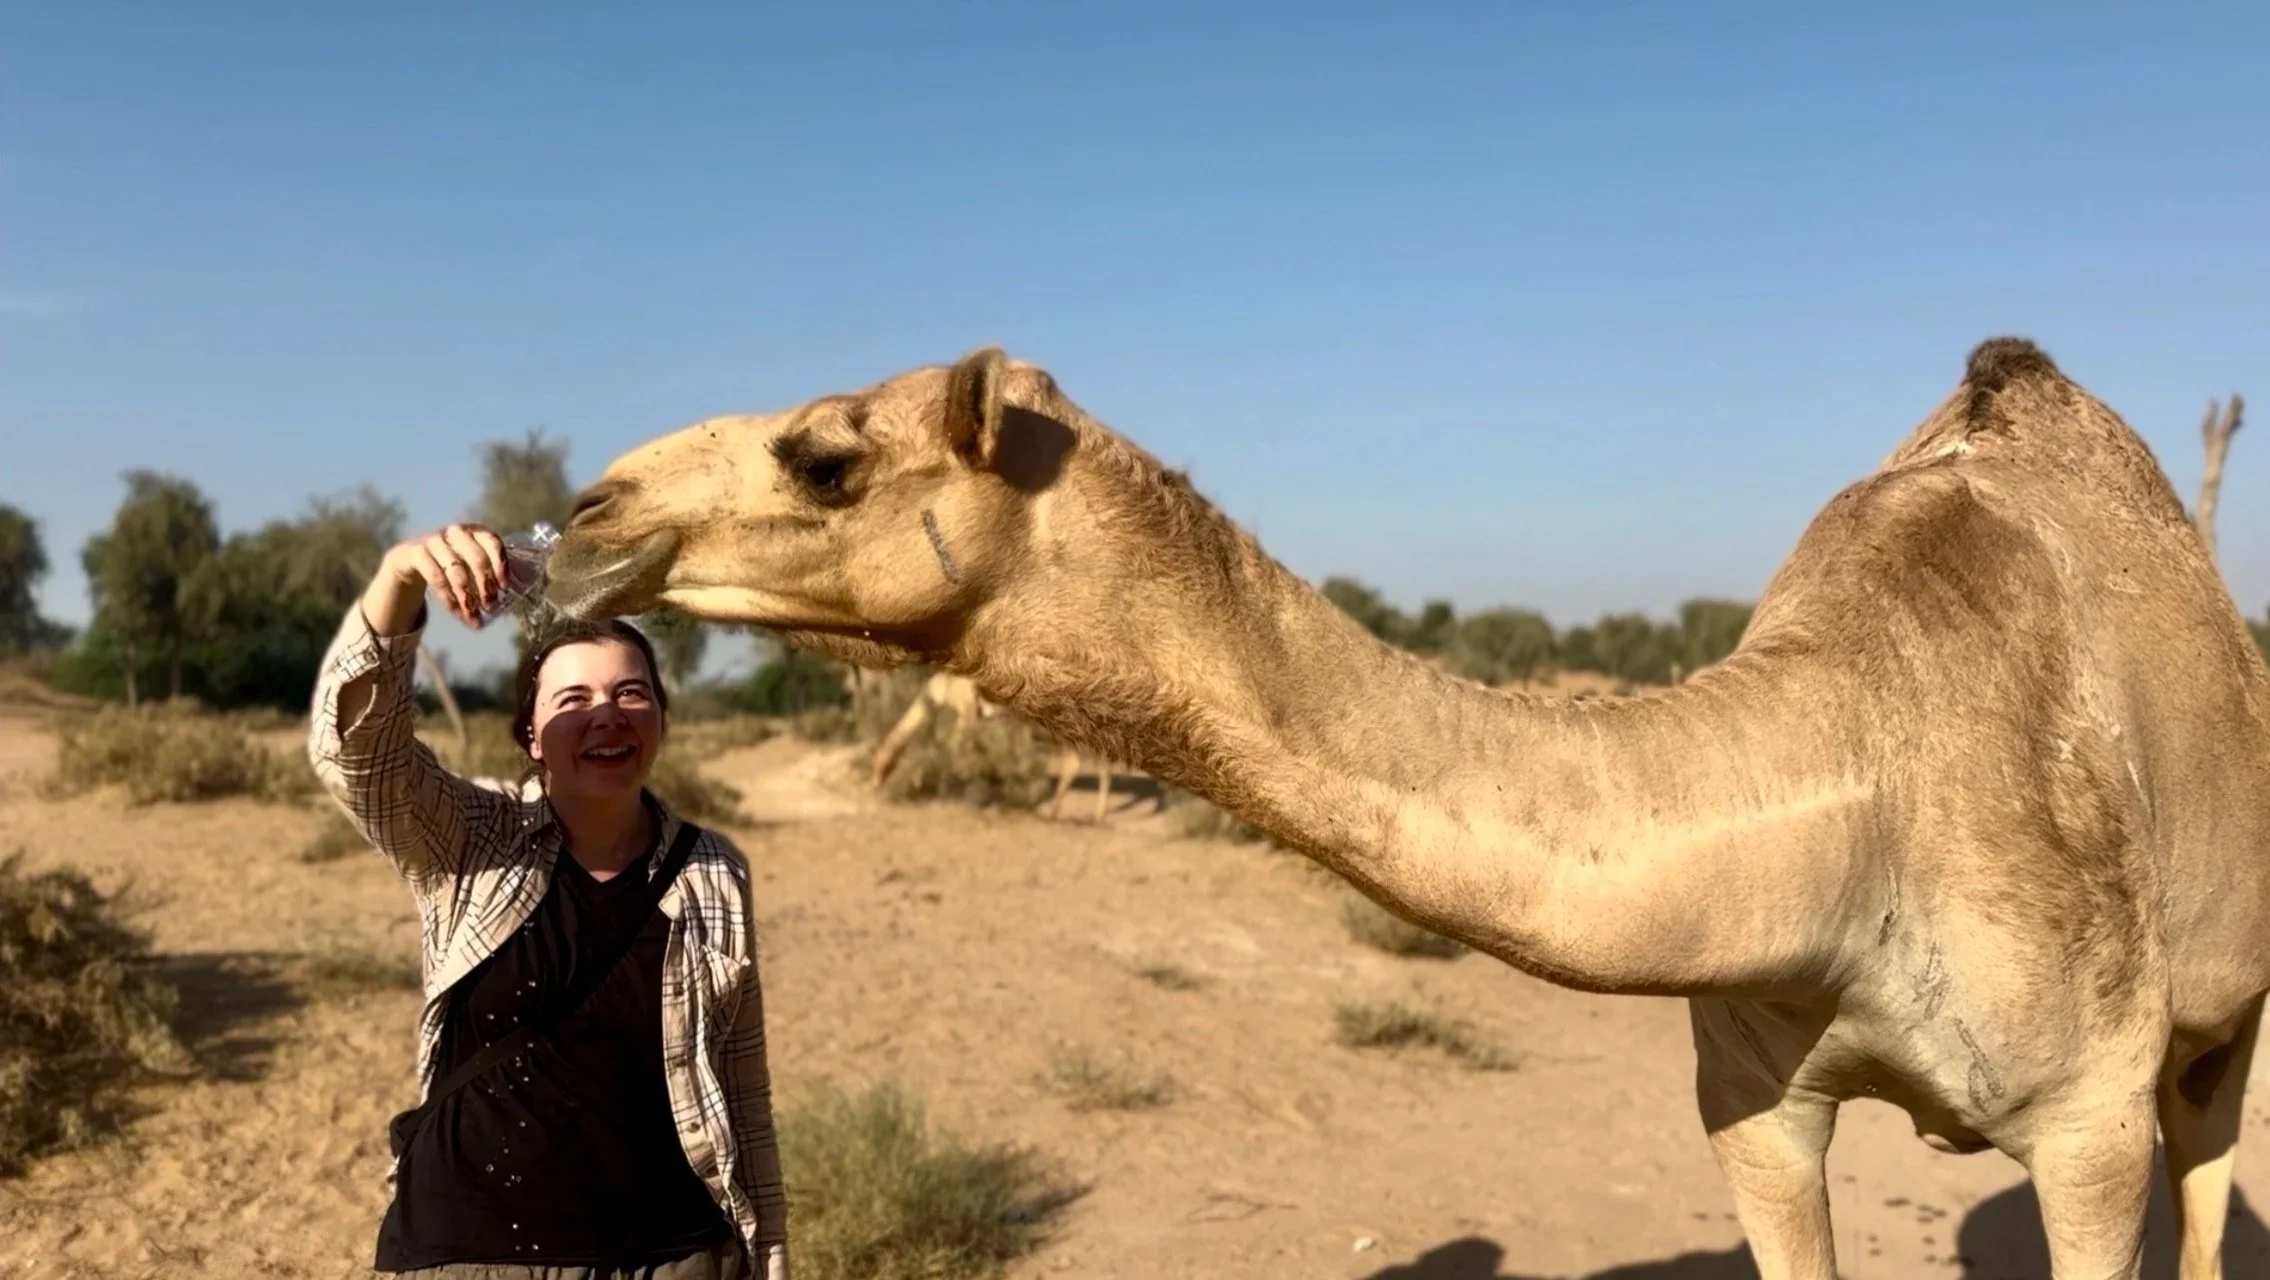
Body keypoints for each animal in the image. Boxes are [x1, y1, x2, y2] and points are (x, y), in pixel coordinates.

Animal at [539, 338, 2270, 1279]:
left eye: (825, 455)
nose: (585, 516)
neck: (1846, 794)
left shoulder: (2083, 1122)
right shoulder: (1755, 1102)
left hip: (2212, 1025)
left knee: (2206, 1176)